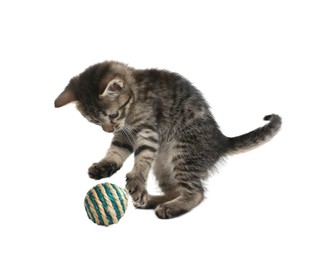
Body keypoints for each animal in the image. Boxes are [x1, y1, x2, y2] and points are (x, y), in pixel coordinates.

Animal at [54, 61, 282, 219]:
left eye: (113, 115)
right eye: (94, 121)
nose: (108, 129)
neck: (135, 95)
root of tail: (221, 141)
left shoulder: (148, 131)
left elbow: (142, 158)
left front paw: (136, 181)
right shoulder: (124, 134)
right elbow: (116, 150)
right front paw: (104, 166)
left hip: (183, 152)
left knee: (197, 192)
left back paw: (170, 207)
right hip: (163, 166)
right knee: (175, 189)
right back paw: (151, 201)